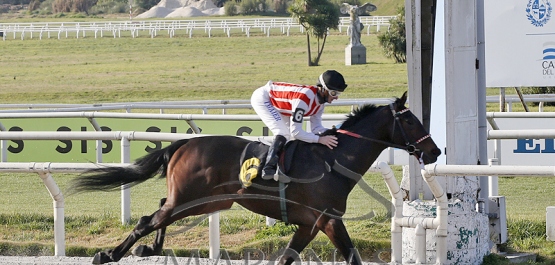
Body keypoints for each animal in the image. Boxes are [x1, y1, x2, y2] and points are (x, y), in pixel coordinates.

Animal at [70, 92, 444, 262]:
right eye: (411, 121)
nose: (435, 151)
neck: (334, 161)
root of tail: (184, 143)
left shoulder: (311, 224)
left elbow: (287, 257)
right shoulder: (328, 221)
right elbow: (352, 255)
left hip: (200, 200)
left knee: (161, 211)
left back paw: (149, 248)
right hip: (193, 197)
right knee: (149, 219)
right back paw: (109, 254)